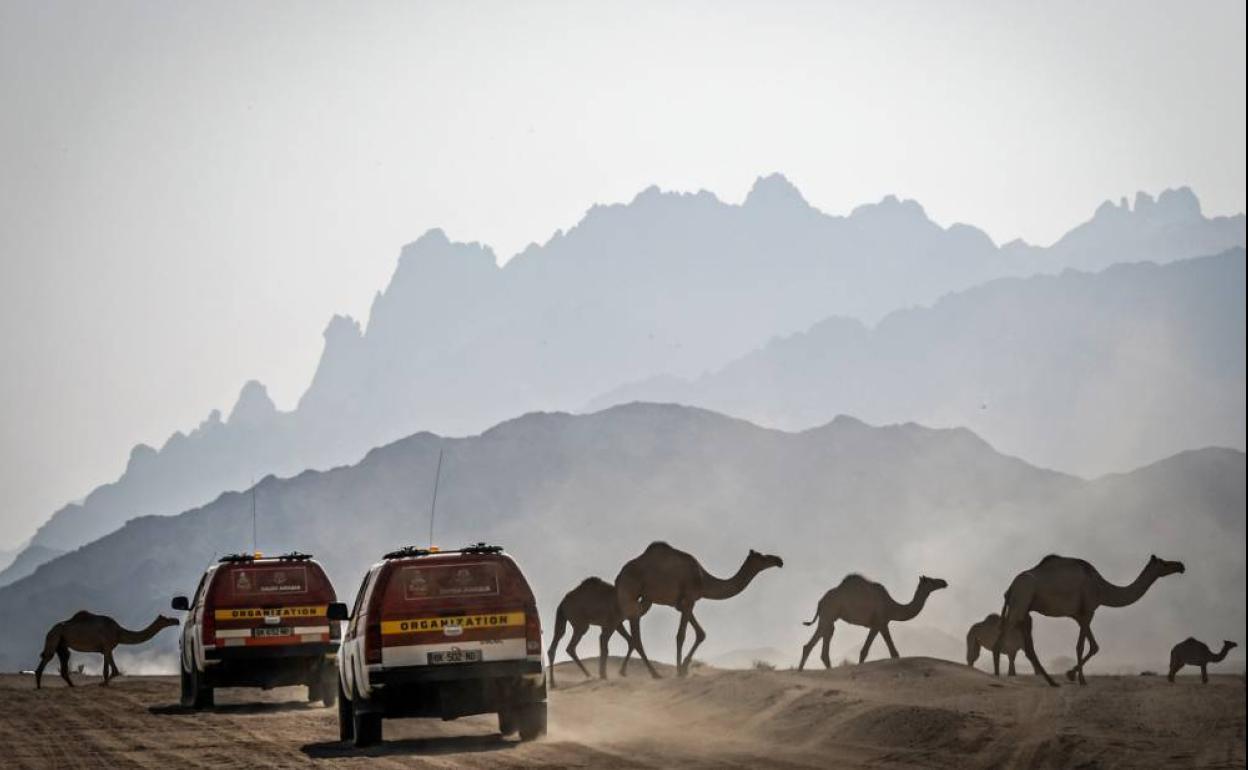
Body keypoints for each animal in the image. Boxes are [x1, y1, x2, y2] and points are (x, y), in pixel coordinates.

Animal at [34, 609, 178, 688]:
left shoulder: (107, 648)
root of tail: (50, 630)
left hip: (62, 643)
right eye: (166, 619)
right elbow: (109, 670)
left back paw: (72, 685)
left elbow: (112, 670)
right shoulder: (107, 645)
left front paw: (105, 683)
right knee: (48, 656)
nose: (176, 620)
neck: (118, 632)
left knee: (65, 657)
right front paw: (103, 684)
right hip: (54, 636)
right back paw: (39, 686)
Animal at [614, 544, 778, 673]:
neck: (703, 579)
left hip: (641, 599)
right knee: (634, 634)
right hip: (631, 593)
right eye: (762, 557)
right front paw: (680, 671)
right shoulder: (689, 599)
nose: (778, 560)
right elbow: (681, 635)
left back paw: (624, 671)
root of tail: (619, 575)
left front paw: (684, 669)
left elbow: (701, 633)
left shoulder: (683, 604)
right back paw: (650, 673)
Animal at [793, 571, 948, 668]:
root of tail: (820, 602)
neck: (891, 606)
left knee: (816, 642)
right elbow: (888, 652)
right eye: (930, 580)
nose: (944, 582)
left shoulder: (878, 625)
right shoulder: (880, 623)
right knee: (820, 640)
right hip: (828, 614)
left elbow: (867, 651)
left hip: (827, 617)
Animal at [993, 551, 1188, 683]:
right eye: (1163, 563)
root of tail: (1010, 587)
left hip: (1021, 606)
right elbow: (1088, 646)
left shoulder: (1078, 616)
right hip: (1022, 598)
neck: (1102, 588)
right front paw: (1075, 676)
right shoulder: (1089, 610)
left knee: (1013, 634)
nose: (1180, 566)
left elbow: (1087, 645)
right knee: (1006, 632)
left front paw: (1075, 676)